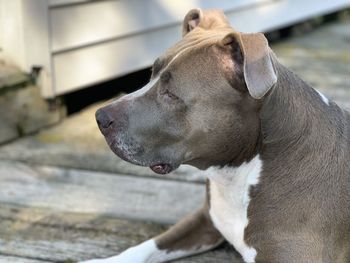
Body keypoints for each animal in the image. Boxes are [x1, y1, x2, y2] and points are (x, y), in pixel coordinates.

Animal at [84, 8, 350, 263]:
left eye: (171, 94)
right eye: (151, 74)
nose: (100, 117)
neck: (238, 174)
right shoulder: (206, 220)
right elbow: (149, 246)